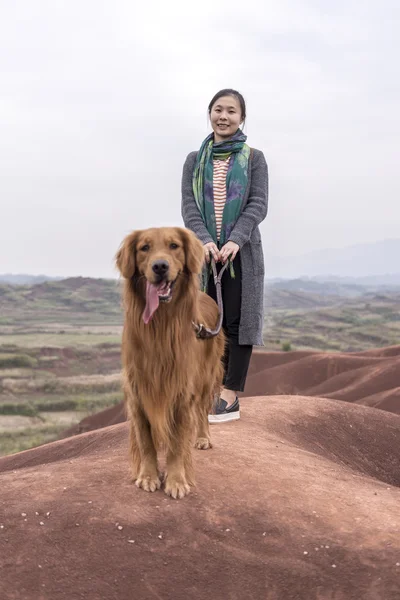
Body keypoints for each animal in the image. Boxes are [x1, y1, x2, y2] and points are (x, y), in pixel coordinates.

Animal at [115, 227, 225, 500]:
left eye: (174, 246)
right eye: (144, 247)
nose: (160, 266)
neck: (160, 326)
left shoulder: (181, 393)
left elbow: (176, 444)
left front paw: (176, 481)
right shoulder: (138, 392)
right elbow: (146, 442)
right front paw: (148, 476)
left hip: (205, 378)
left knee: (202, 412)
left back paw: (203, 438)